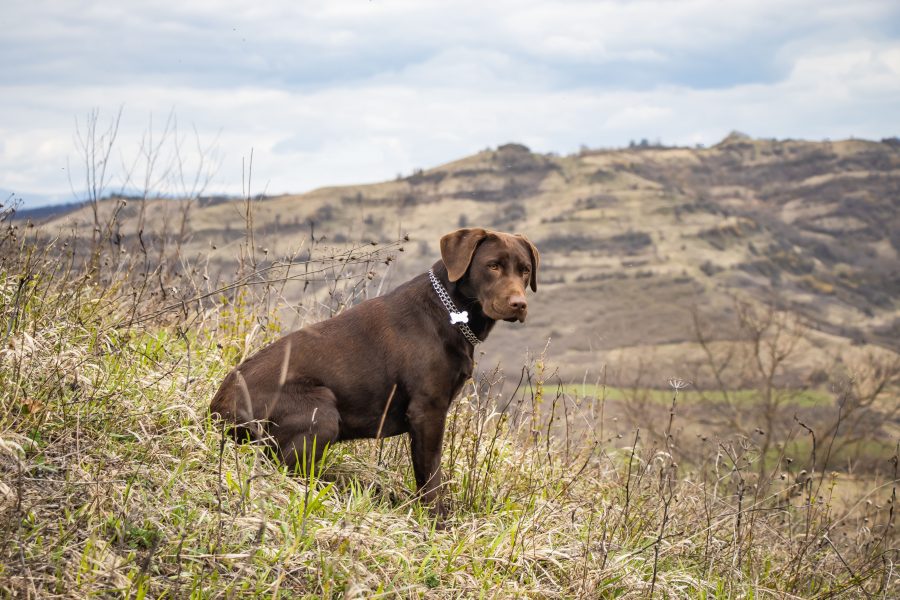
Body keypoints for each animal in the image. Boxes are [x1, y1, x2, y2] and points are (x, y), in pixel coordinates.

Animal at [211, 227, 536, 512]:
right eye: (492, 266)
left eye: (525, 270)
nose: (519, 304)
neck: (450, 312)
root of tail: (216, 411)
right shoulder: (427, 411)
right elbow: (431, 475)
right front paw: (437, 521)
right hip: (322, 412)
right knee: (281, 467)